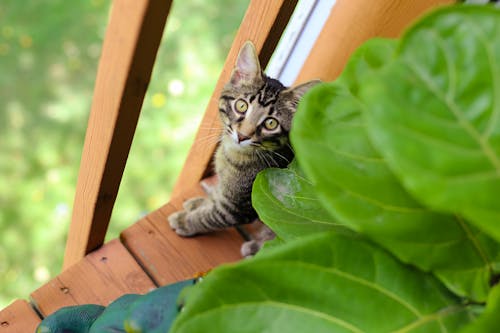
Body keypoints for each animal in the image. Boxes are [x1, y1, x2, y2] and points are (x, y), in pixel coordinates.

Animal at [167, 40, 316, 244]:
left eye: (271, 123)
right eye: (241, 105)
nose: (243, 135)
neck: (231, 156)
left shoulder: (241, 207)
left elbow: (211, 217)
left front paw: (187, 221)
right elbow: (216, 198)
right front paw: (202, 202)